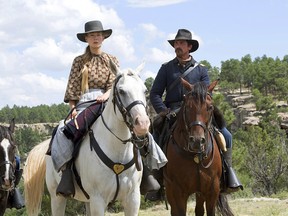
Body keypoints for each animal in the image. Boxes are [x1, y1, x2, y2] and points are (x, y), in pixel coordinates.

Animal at [24, 61, 151, 215]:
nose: (142, 124)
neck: (117, 152)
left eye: (145, 90)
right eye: (121, 91)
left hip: (87, 200)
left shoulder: (132, 199)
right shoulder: (98, 200)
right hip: (57, 197)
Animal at [163, 79, 233, 216]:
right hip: (170, 190)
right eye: (188, 107)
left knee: (199, 210)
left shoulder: (212, 189)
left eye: (210, 107)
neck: (194, 156)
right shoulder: (178, 191)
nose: (197, 141)